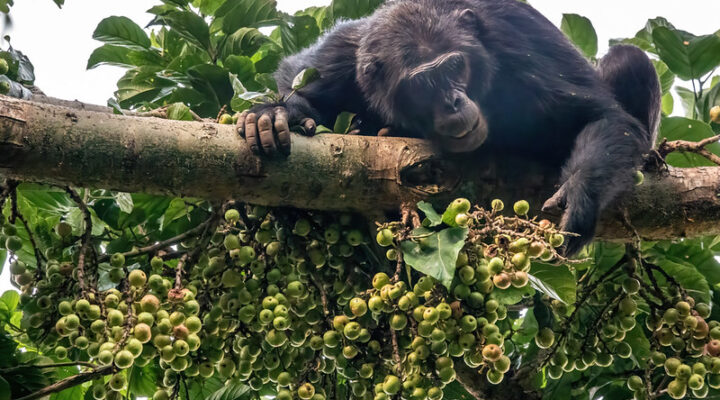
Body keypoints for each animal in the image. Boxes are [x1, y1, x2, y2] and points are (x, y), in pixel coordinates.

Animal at [236, 0, 661, 255]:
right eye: (422, 86)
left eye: (455, 67)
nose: (452, 101)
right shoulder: (342, 53)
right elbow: (298, 76)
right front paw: (276, 115)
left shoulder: (521, 48)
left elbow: (601, 116)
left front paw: (579, 193)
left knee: (629, 59)